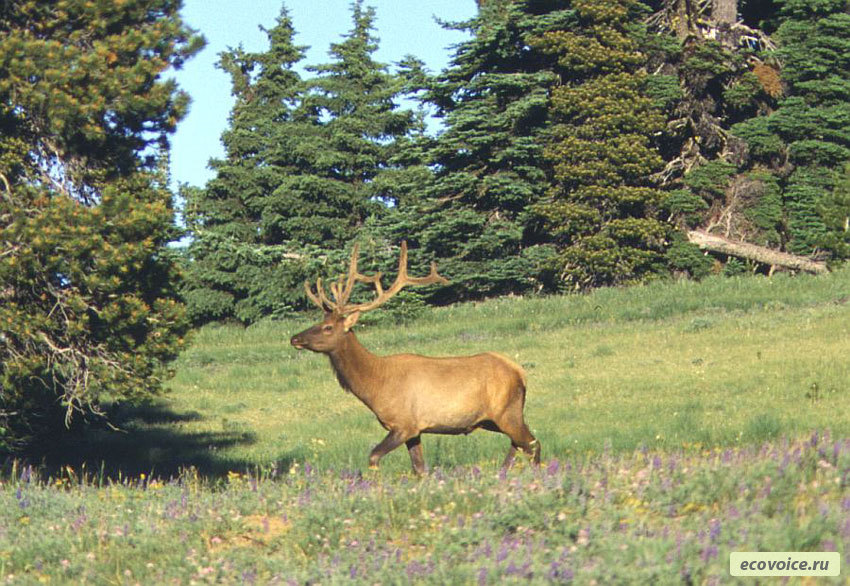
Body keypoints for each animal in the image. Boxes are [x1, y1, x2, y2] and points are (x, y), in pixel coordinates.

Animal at [286, 240, 536, 472]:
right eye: (319, 321)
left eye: (328, 327)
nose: (295, 338)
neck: (374, 384)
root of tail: (520, 373)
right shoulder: (415, 430)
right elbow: (419, 469)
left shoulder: (404, 424)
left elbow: (373, 457)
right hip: (492, 419)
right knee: (520, 444)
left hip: (507, 412)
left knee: (532, 444)